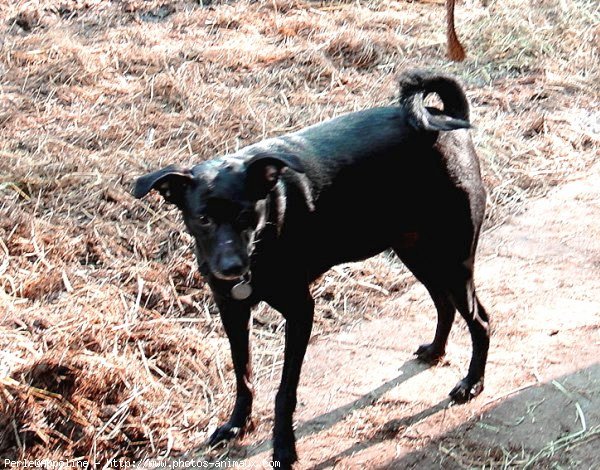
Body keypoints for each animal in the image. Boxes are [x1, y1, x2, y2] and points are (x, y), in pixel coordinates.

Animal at [134, 69, 490, 466]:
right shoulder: (232, 310)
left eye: (246, 214)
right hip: (416, 253)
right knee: (444, 305)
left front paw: (283, 446)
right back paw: (436, 351)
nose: (231, 267)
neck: (268, 227)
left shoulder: (301, 312)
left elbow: (284, 391)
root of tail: (446, 119)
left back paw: (472, 383)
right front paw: (237, 424)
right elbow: (243, 375)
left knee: (480, 320)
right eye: (203, 219)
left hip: (454, 260)